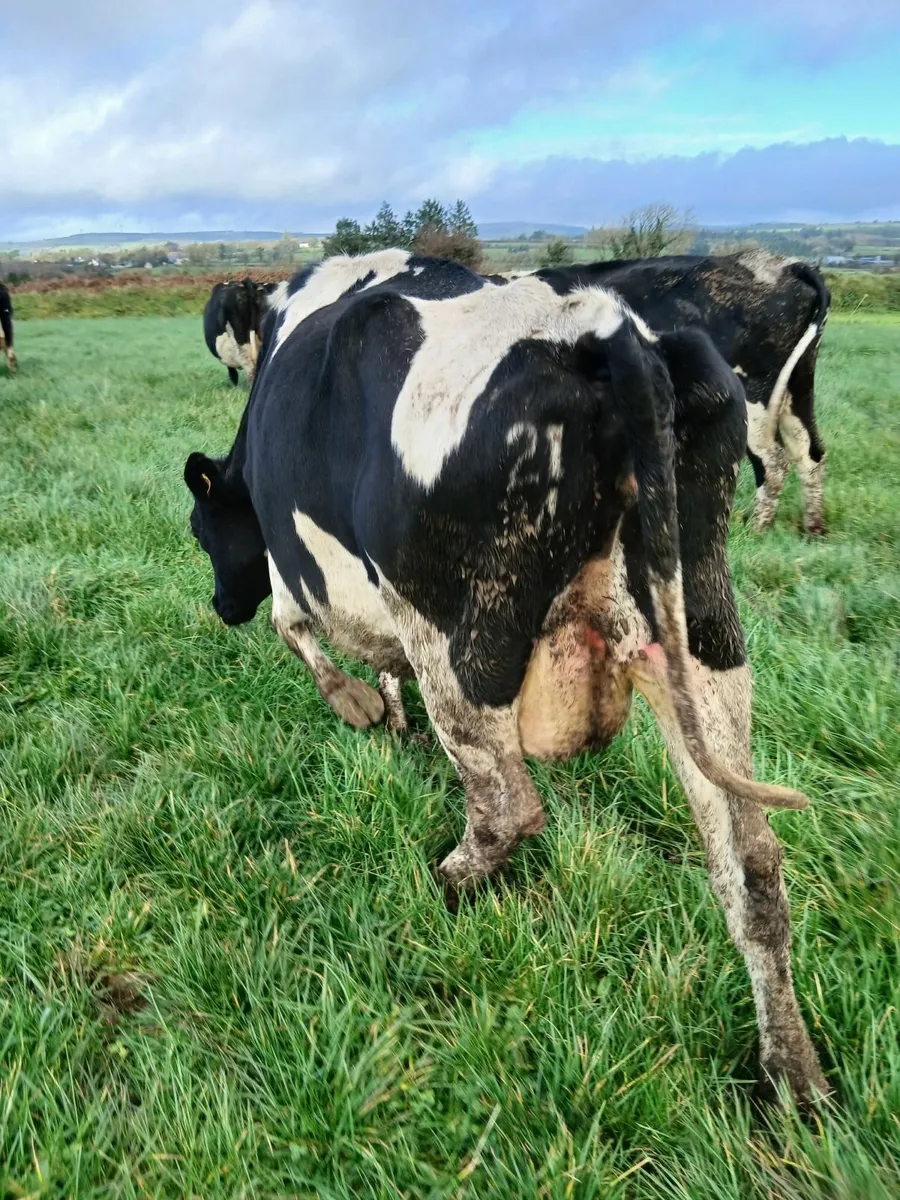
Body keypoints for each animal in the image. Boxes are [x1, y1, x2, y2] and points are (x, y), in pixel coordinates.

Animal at [529, 251, 831, 535]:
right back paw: (813, 528)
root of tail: (781, 264)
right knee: (808, 452)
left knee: (774, 459)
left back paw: (756, 530)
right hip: (796, 389)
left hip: (755, 396)